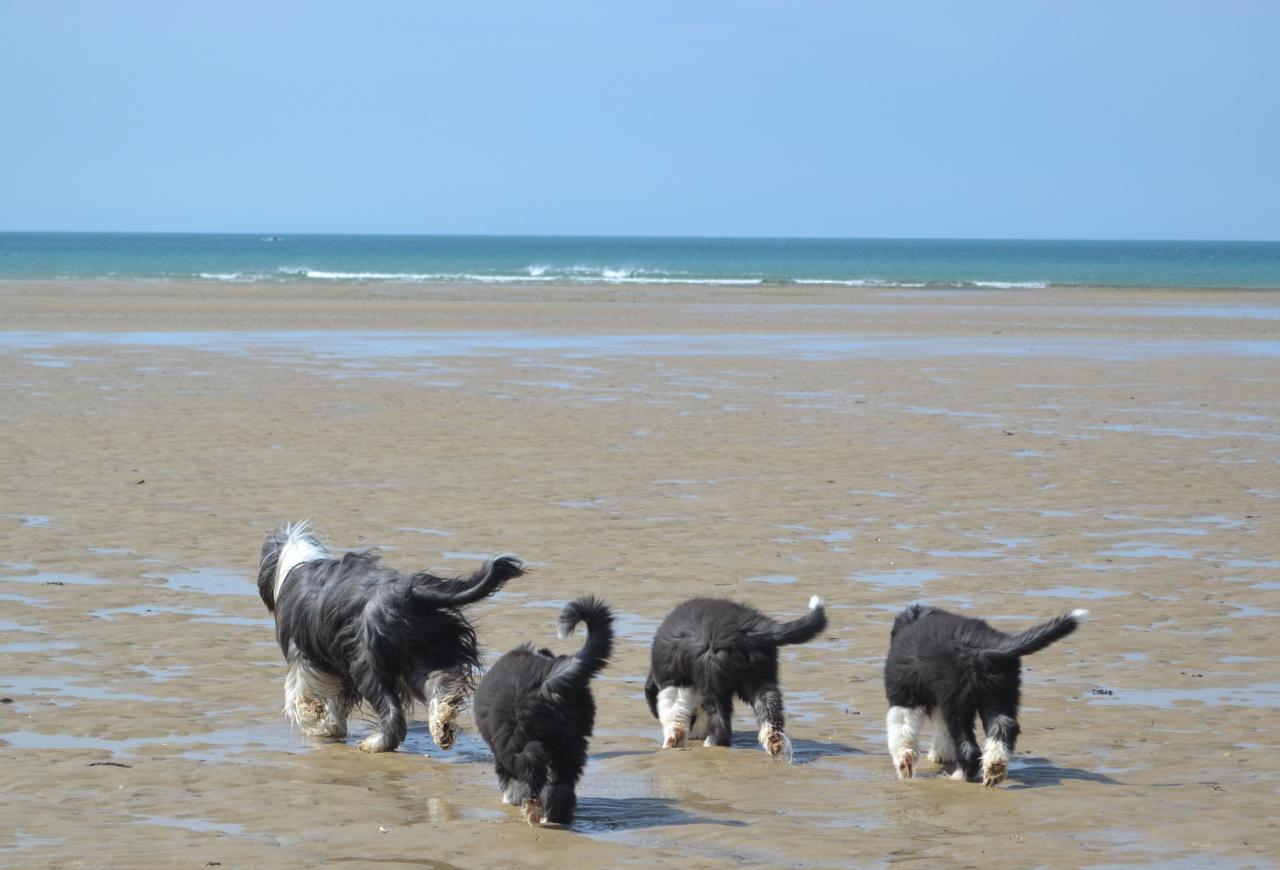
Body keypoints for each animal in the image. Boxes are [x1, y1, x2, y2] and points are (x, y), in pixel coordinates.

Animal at [256, 524, 524, 752]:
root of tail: (408, 593)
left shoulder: (305, 656)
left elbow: (299, 696)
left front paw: (317, 723)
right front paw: (331, 726)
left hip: (368, 664)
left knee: (393, 714)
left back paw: (376, 743)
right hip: (420, 653)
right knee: (440, 683)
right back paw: (442, 725)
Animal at [473, 593, 611, 823]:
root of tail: (548, 683)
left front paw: (510, 797)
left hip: (519, 737)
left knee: (530, 766)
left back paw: (533, 807)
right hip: (572, 739)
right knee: (562, 785)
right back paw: (557, 815)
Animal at [640, 591, 829, 762]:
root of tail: (749, 630)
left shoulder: (675, 682)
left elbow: (675, 716)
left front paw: (672, 743)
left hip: (714, 681)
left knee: (721, 722)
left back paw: (712, 743)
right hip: (760, 677)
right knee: (769, 710)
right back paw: (775, 742)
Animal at [880, 603, 1090, 788]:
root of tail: (983, 647)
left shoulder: (905, 696)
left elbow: (901, 731)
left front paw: (904, 764)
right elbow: (941, 731)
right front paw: (940, 755)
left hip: (958, 703)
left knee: (968, 747)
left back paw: (958, 777)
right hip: (1001, 693)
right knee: (1004, 726)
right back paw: (995, 767)